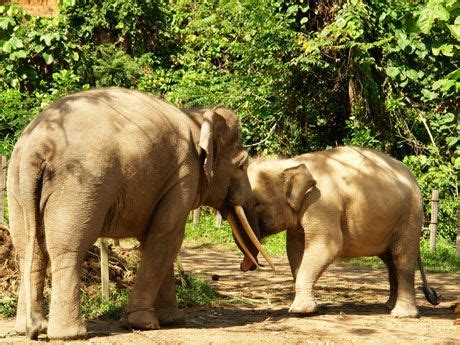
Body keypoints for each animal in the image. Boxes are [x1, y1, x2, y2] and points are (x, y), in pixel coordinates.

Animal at [7, 86, 272, 338]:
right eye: (242, 165)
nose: (247, 266)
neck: (196, 116)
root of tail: (37, 147)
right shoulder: (184, 176)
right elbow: (167, 236)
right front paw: (144, 324)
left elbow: (156, 240)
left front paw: (171, 321)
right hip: (78, 186)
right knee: (68, 248)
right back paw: (70, 335)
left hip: (17, 186)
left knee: (29, 250)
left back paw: (30, 328)